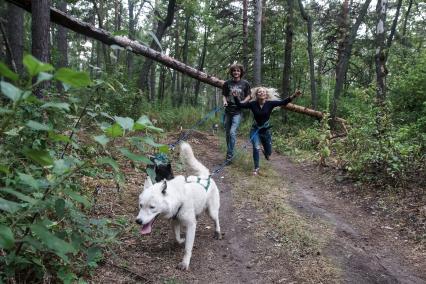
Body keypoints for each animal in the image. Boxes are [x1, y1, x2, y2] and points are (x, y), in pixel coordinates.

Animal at [136, 142, 223, 270]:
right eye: (141, 205)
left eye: (152, 207)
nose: (138, 221)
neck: (178, 199)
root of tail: (205, 176)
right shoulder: (175, 221)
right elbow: (177, 238)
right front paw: (182, 241)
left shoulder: (190, 225)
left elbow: (188, 248)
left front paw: (185, 263)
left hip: (211, 211)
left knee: (216, 220)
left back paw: (217, 232)